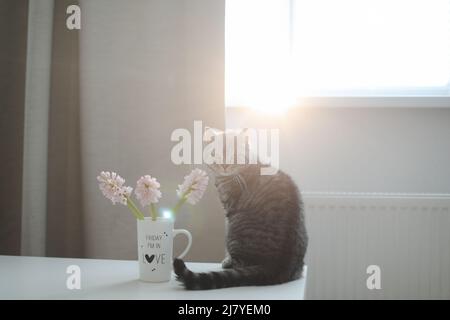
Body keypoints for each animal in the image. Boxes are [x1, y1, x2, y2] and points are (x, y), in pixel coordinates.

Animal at [174, 128, 308, 290]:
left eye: (234, 155)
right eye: (216, 153)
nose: (225, 165)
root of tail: (277, 265)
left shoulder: (229, 207)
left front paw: (226, 260)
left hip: (234, 232)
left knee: (239, 264)